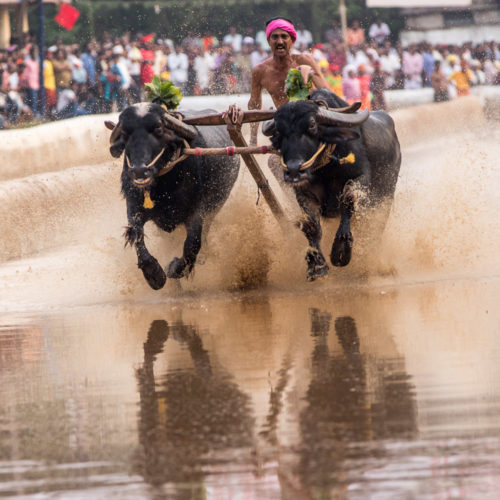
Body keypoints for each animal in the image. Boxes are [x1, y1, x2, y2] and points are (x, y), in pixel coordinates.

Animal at [104, 102, 239, 290]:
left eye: (158, 129)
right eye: (125, 132)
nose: (139, 171)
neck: (163, 187)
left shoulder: (198, 210)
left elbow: (192, 244)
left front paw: (174, 268)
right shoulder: (133, 207)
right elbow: (137, 238)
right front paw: (155, 275)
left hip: (215, 208)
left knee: (203, 237)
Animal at [266, 89, 402, 282]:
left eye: (312, 126)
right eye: (278, 131)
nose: (293, 170)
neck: (326, 170)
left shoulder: (360, 178)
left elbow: (348, 200)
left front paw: (341, 249)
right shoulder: (303, 192)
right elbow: (312, 226)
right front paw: (316, 265)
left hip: (385, 197)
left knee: (375, 226)